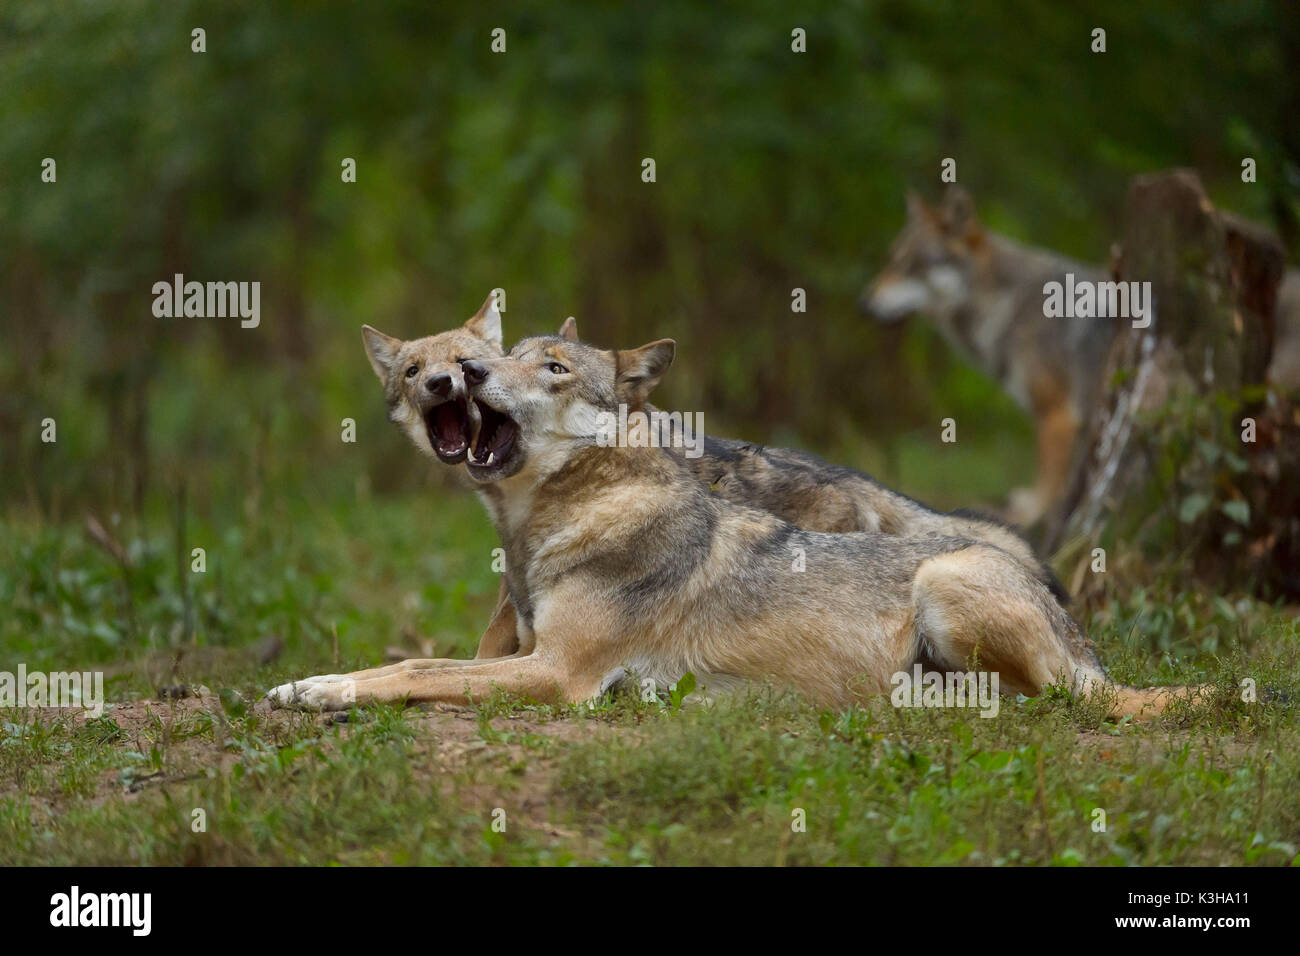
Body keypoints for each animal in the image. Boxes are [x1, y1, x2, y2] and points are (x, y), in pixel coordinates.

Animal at [269, 332, 1201, 712]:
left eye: (554, 367)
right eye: (497, 356)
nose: (464, 371)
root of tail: (1085, 644)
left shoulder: (559, 675)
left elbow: (415, 670)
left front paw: (318, 690)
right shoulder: (528, 650)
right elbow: (424, 657)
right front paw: (305, 683)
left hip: (948, 580)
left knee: (1052, 702)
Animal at [863, 189, 1107, 528]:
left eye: (913, 265)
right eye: (893, 260)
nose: (863, 303)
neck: (1009, 303)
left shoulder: (1056, 415)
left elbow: (1047, 490)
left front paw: (1029, 516)